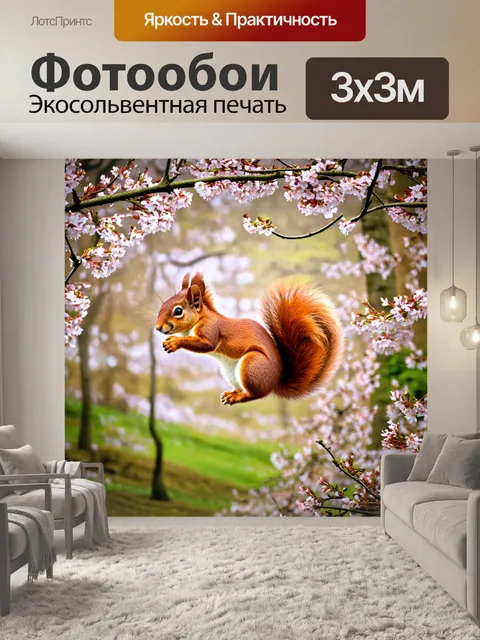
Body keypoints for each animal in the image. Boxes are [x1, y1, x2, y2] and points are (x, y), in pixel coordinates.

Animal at [156, 272, 344, 406]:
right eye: (162, 304)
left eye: (178, 311)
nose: (158, 327)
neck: (199, 319)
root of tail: (274, 382)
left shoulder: (210, 329)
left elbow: (206, 344)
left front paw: (174, 342)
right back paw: (232, 394)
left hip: (252, 365)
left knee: (253, 395)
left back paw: (235, 398)